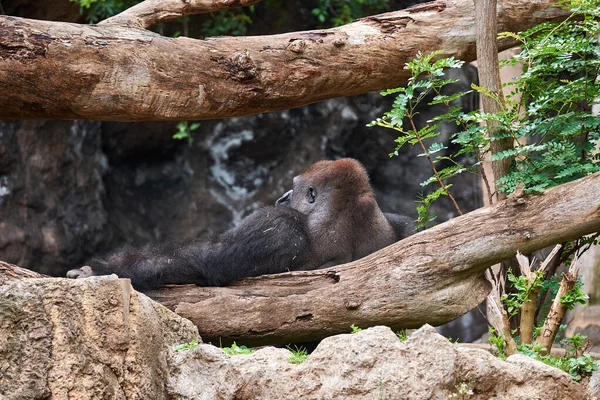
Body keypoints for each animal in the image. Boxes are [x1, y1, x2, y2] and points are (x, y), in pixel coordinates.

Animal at [65, 159, 412, 290]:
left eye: (296, 189)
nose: (283, 197)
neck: (347, 213)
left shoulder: (276, 224)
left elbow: (205, 263)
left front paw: (100, 269)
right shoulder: (402, 223)